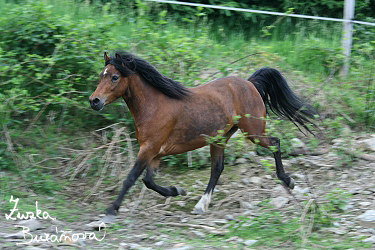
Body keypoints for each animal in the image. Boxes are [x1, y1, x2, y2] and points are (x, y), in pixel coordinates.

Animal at [90, 50, 318, 215]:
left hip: (253, 131)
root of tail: (250, 84)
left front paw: (112, 209)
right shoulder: (155, 152)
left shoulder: (149, 149)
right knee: (217, 168)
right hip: (220, 138)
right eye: (101, 76)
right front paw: (176, 191)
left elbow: (131, 178)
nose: (94, 101)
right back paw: (201, 204)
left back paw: (287, 180)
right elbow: (148, 181)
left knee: (275, 143)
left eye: (115, 77)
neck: (154, 105)